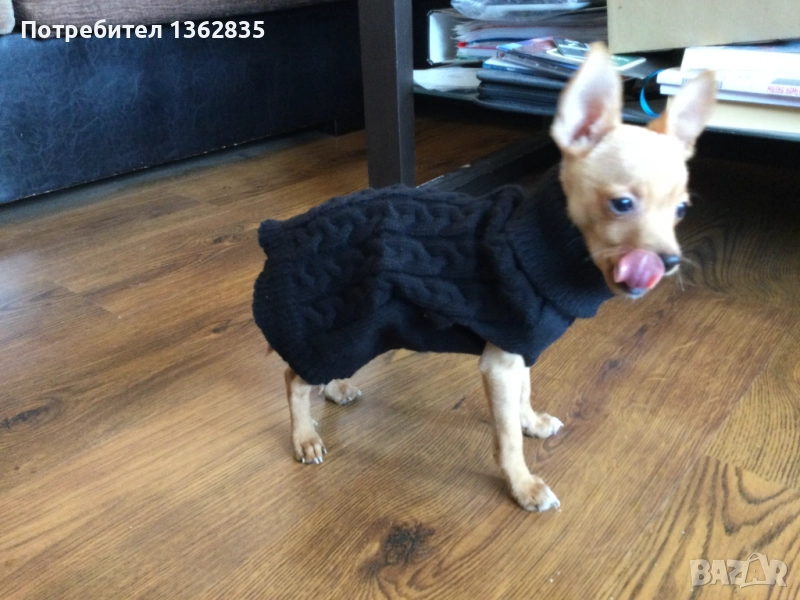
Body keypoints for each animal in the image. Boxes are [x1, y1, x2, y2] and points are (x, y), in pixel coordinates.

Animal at [253, 44, 716, 511]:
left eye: (681, 210)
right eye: (621, 204)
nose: (669, 261)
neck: (539, 243)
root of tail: (278, 232)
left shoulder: (519, 347)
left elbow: (524, 395)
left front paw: (531, 421)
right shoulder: (500, 364)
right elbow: (507, 438)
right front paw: (523, 484)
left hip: (354, 333)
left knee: (314, 372)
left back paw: (335, 389)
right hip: (341, 329)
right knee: (293, 378)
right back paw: (304, 436)